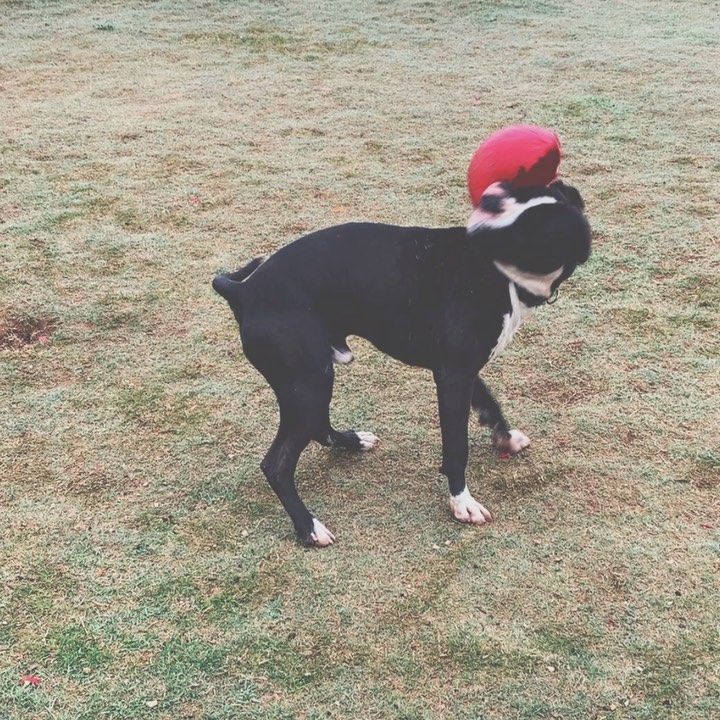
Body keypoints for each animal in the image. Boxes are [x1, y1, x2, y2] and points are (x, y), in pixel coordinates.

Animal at [212, 180, 592, 544]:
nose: (480, 219)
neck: (500, 275)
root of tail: (244, 290)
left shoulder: (462, 370)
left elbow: (488, 402)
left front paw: (506, 438)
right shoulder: (453, 376)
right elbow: (457, 446)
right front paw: (462, 502)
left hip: (310, 382)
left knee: (319, 429)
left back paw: (353, 442)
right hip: (309, 385)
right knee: (277, 465)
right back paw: (309, 528)